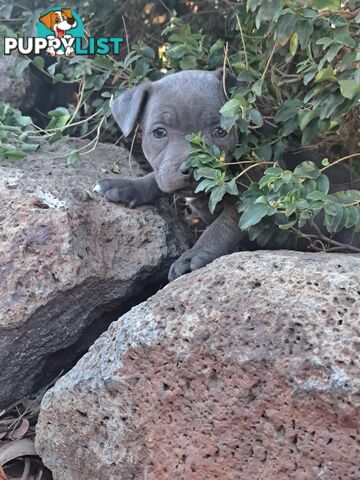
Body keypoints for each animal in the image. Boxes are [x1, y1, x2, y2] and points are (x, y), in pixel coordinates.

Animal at [95, 71, 245, 282]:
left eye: (220, 131)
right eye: (159, 132)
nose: (190, 169)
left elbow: (223, 226)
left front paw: (193, 256)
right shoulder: (164, 172)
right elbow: (156, 179)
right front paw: (125, 186)